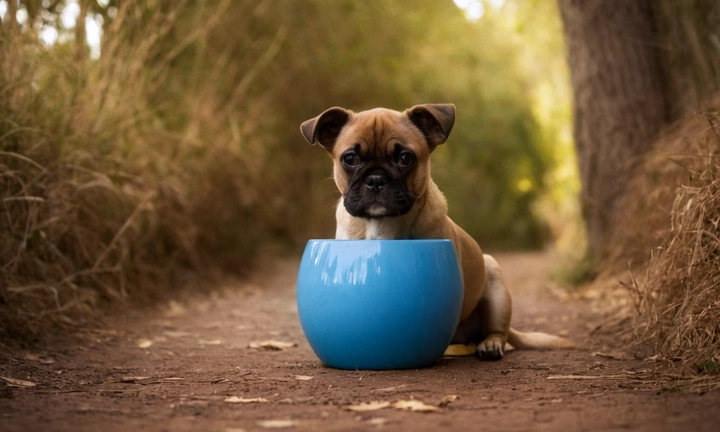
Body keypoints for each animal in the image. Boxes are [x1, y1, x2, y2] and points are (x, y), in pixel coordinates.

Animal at [300, 103, 572, 360]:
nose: (376, 179)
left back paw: (491, 345)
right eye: (350, 159)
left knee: (499, 332)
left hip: (494, 279)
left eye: (405, 158)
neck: (382, 223)